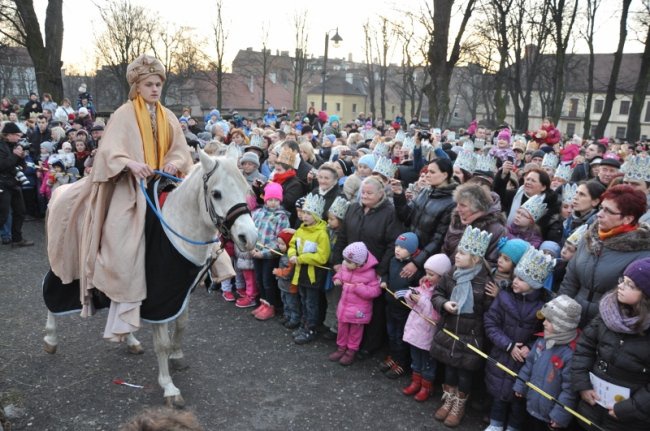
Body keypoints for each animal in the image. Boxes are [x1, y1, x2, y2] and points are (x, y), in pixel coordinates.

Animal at [41, 151, 256, 408]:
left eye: (247, 189)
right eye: (216, 193)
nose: (249, 237)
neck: (177, 228)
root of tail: (60, 190)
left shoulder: (181, 291)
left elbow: (181, 325)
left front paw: (177, 355)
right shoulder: (161, 297)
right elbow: (161, 344)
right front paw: (169, 387)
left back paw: (130, 339)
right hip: (65, 268)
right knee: (51, 297)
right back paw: (50, 339)